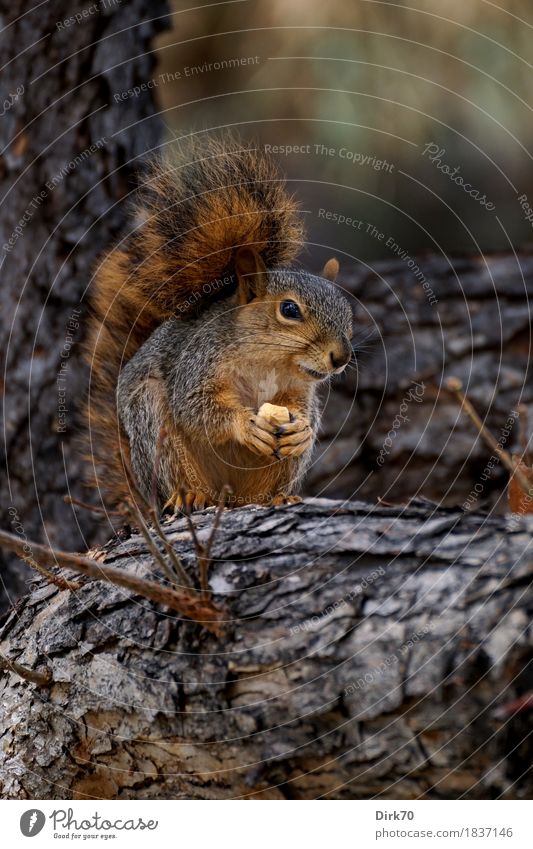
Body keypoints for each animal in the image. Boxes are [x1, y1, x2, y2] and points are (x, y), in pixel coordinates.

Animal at [84, 134, 354, 510]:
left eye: (348, 314)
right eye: (289, 310)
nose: (340, 358)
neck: (267, 362)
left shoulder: (299, 390)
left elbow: (302, 410)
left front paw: (302, 429)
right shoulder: (198, 363)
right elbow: (196, 407)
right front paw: (245, 424)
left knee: (260, 491)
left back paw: (279, 496)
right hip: (154, 426)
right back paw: (189, 495)